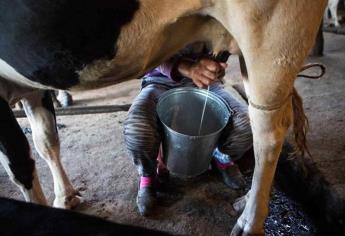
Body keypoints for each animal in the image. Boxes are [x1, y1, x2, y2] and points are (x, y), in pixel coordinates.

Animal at [0, 0, 326, 235]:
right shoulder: (33, 85)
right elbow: (47, 142)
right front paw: (65, 197)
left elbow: (20, 164)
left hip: (273, 34)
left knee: (268, 135)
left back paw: (250, 222)